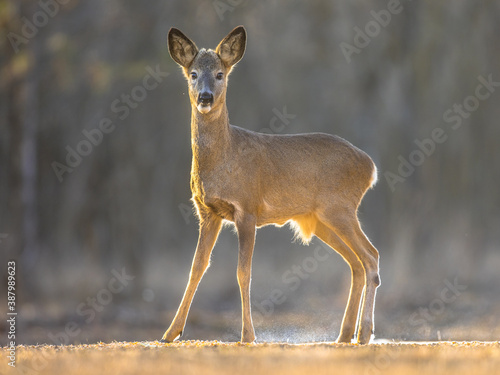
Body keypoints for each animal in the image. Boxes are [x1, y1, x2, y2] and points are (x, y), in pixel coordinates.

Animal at [162, 25, 380, 346]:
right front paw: (171, 333)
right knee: (356, 263)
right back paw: (344, 334)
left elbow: (243, 272)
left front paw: (247, 335)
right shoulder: (207, 212)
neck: (223, 159)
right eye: (193, 74)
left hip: (339, 208)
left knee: (370, 256)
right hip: (321, 219)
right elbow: (197, 267)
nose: (205, 97)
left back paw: (364, 333)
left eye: (220, 74)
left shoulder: (247, 209)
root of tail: (370, 167)